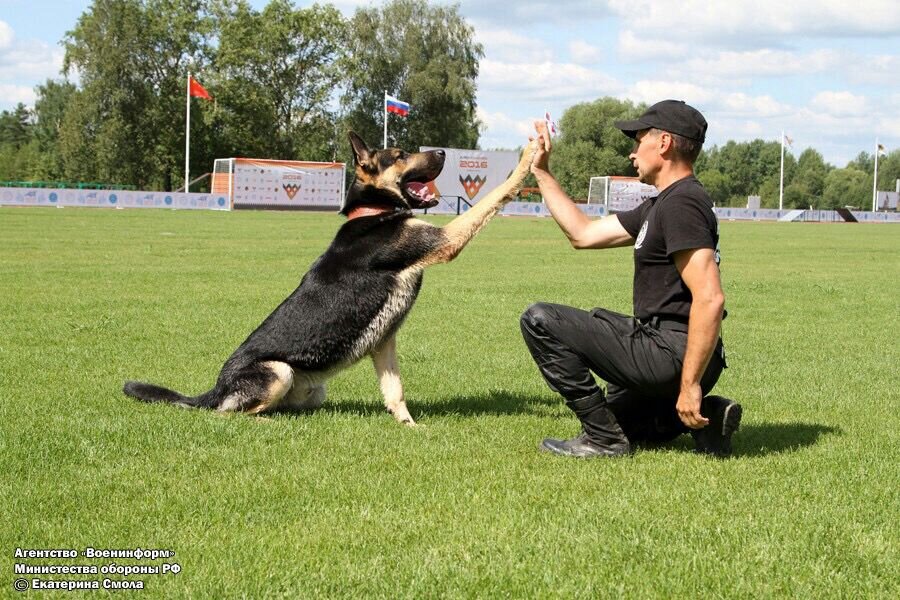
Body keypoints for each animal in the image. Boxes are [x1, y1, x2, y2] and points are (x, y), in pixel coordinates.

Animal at [123, 134, 536, 424]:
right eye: (400, 154)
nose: (442, 153)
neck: (372, 210)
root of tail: (214, 389)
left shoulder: (384, 341)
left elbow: (395, 391)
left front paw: (409, 426)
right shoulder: (447, 240)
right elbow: (494, 197)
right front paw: (529, 157)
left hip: (311, 388)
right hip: (278, 371)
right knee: (228, 414)